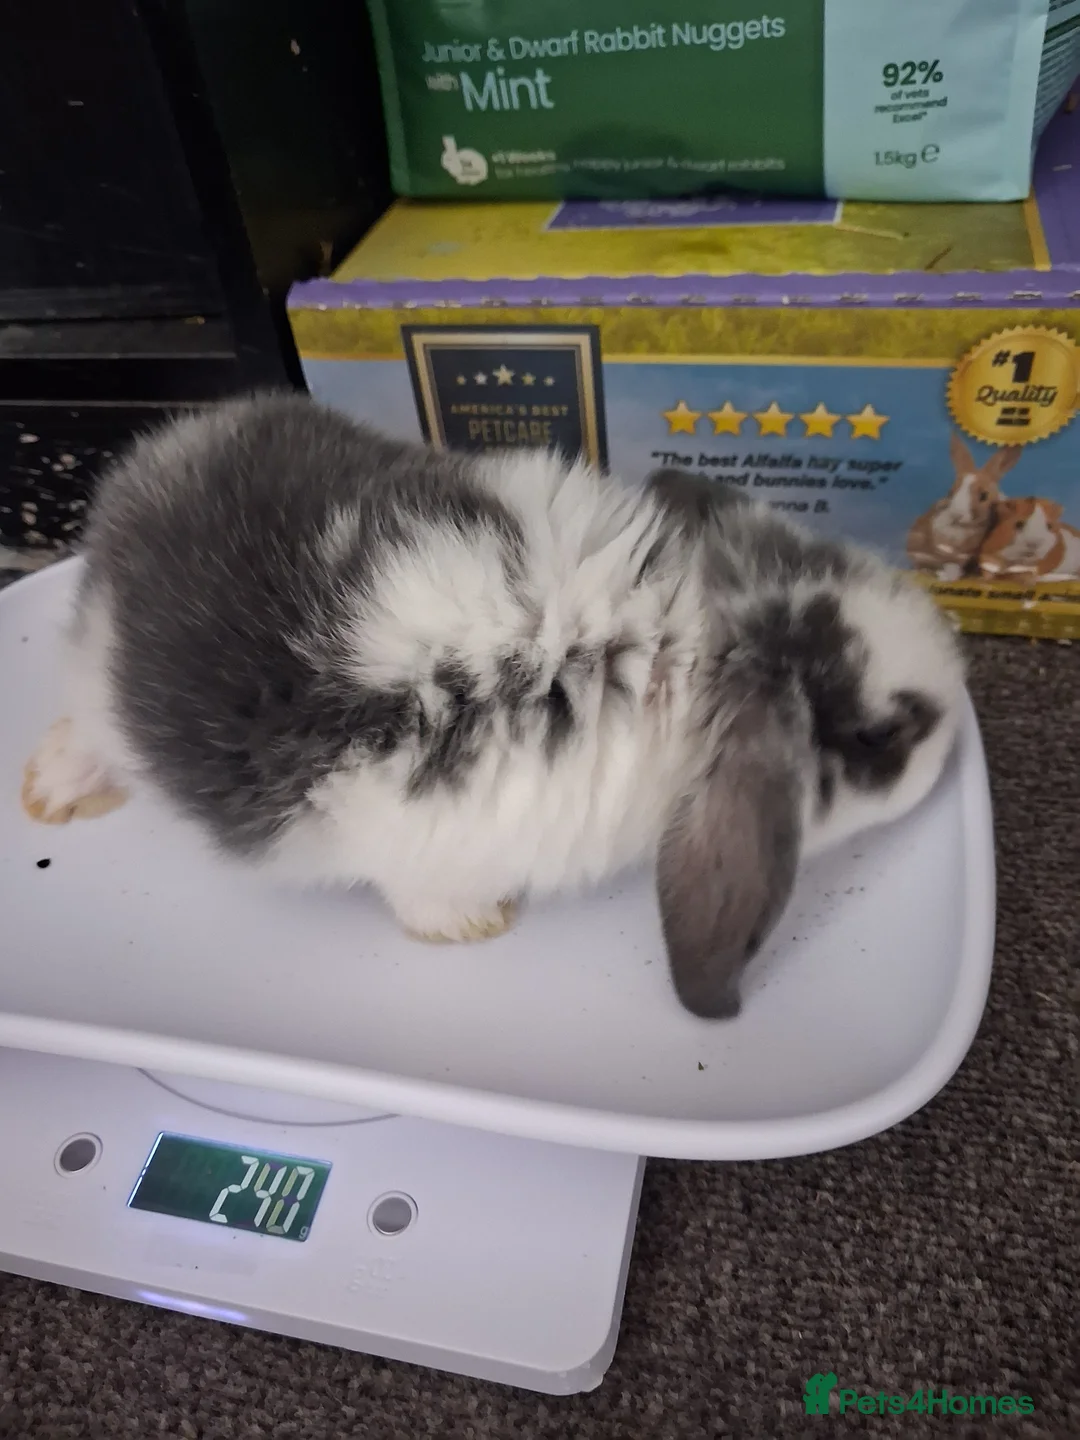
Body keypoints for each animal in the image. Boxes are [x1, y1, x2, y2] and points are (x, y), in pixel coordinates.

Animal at [21, 392, 965, 1019]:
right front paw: (476, 927)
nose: (958, 715)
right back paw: (56, 790)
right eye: (881, 733)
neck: (675, 648)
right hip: (102, 687)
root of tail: (142, 475)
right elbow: (425, 902)